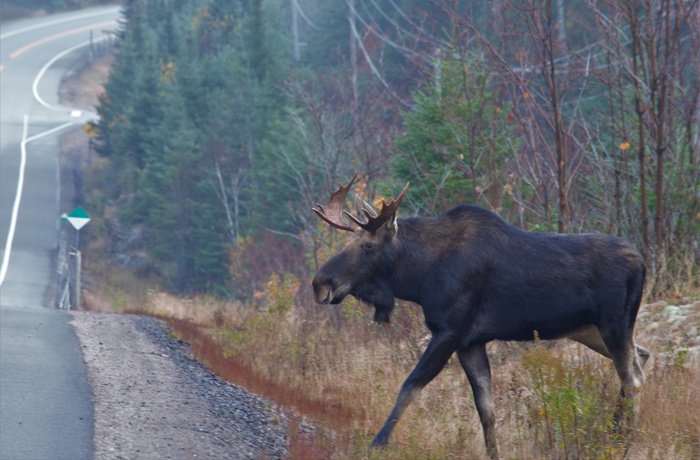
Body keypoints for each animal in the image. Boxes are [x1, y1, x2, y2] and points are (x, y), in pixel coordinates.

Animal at [314, 175, 652, 456]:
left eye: (368, 246)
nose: (320, 282)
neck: (419, 277)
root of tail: (643, 263)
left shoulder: (449, 331)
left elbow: (409, 387)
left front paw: (377, 443)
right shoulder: (470, 342)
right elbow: (486, 409)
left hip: (614, 324)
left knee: (633, 377)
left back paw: (622, 445)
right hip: (590, 330)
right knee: (642, 357)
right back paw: (612, 436)